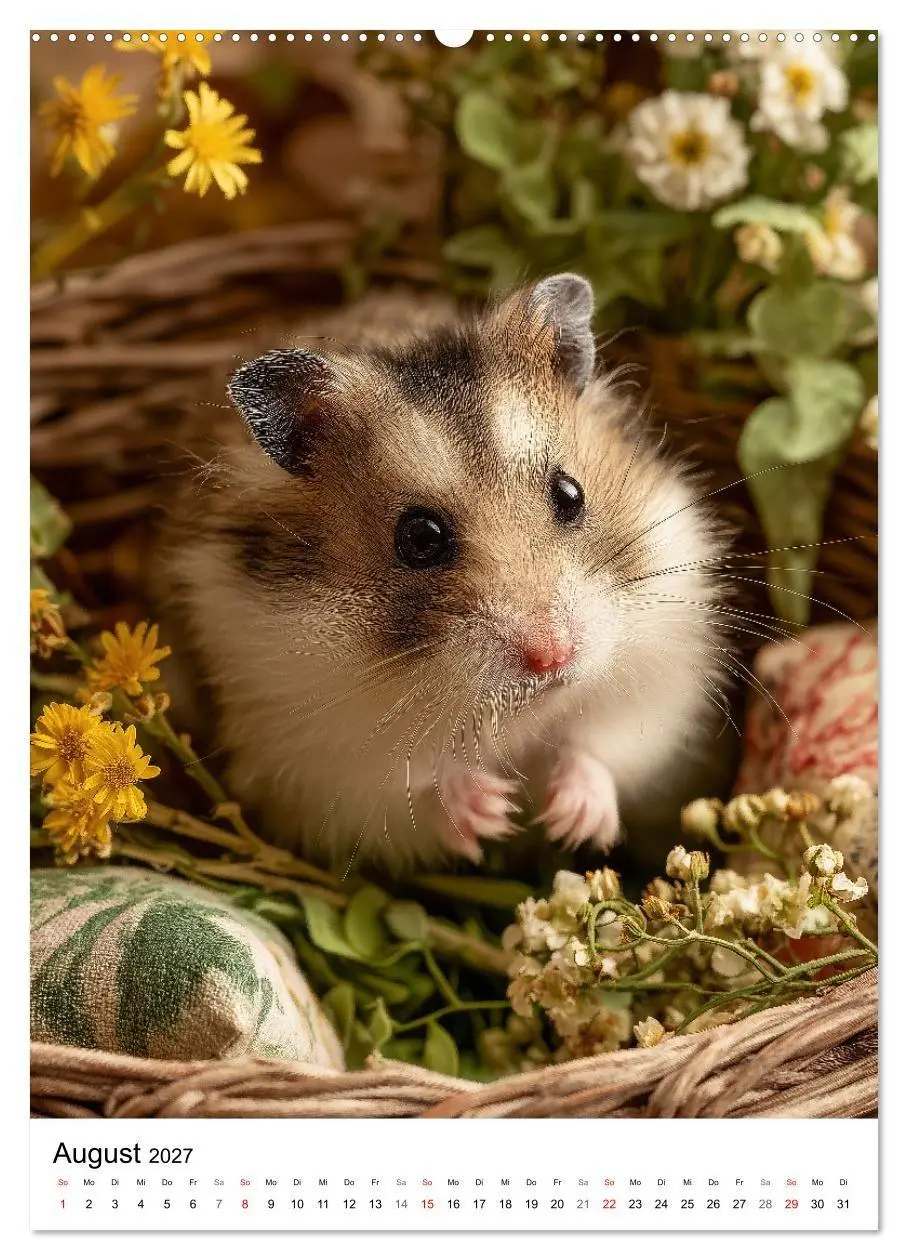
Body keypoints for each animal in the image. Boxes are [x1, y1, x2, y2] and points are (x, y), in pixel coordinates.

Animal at [160, 274, 731, 872]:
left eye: (571, 493)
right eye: (420, 538)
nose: (553, 657)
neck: (509, 716)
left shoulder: (660, 684)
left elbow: (603, 746)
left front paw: (569, 823)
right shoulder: (313, 762)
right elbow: (410, 796)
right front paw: (495, 811)